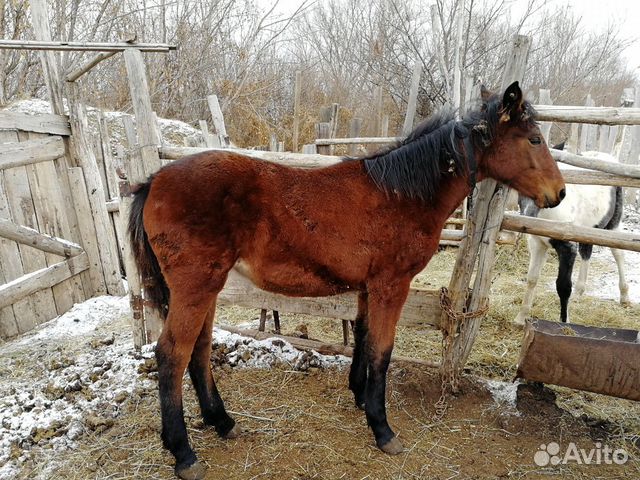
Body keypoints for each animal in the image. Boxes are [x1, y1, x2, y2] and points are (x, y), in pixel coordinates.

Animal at [512, 148, 628, 324]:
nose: (528, 216)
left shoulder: (567, 247)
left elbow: (563, 286)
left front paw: (564, 323)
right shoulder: (537, 243)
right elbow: (532, 278)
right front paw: (520, 317)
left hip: (612, 226)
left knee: (618, 254)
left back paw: (625, 296)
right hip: (588, 230)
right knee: (587, 252)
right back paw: (579, 293)